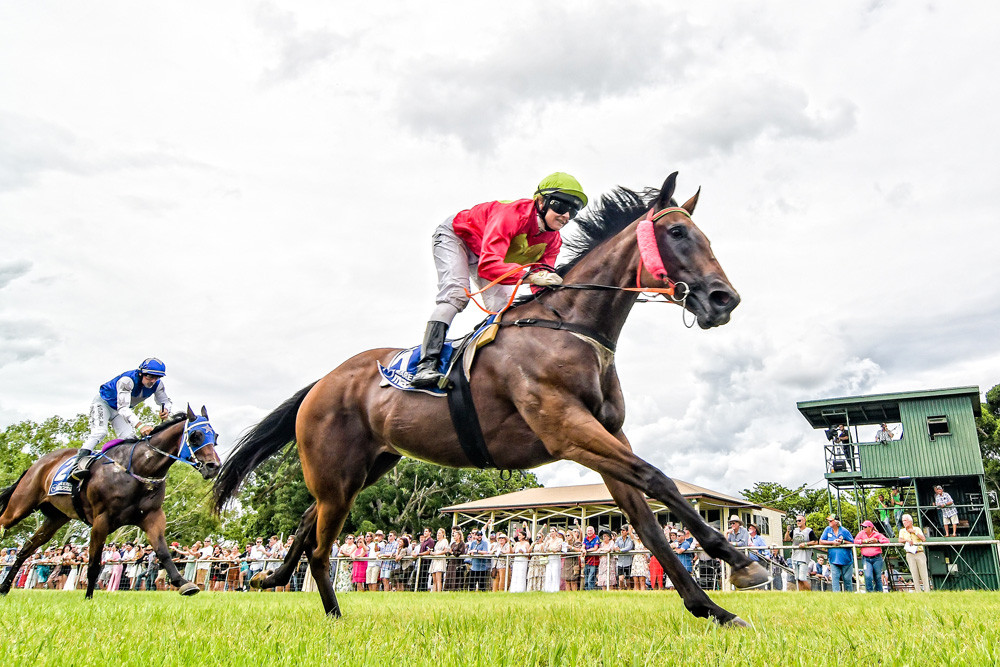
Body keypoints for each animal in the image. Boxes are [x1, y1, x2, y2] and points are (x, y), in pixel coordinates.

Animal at [1, 408, 221, 600]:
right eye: (195, 435)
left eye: (215, 437)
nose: (214, 466)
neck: (137, 469)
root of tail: (37, 463)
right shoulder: (101, 519)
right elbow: (94, 562)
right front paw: (88, 597)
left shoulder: (153, 516)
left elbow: (163, 552)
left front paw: (183, 583)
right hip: (21, 505)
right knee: (5, 522)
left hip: (56, 517)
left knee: (26, 549)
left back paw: (4, 587)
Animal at [215, 174, 768, 628]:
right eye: (677, 234)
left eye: (704, 237)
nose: (725, 299)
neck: (570, 327)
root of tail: (322, 382)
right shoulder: (567, 430)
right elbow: (658, 480)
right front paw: (740, 561)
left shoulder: (607, 435)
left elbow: (650, 525)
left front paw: (713, 609)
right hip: (339, 474)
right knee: (321, 544)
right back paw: (331, 613)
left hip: (365, 467)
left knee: (308, 523)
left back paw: (275, 580)